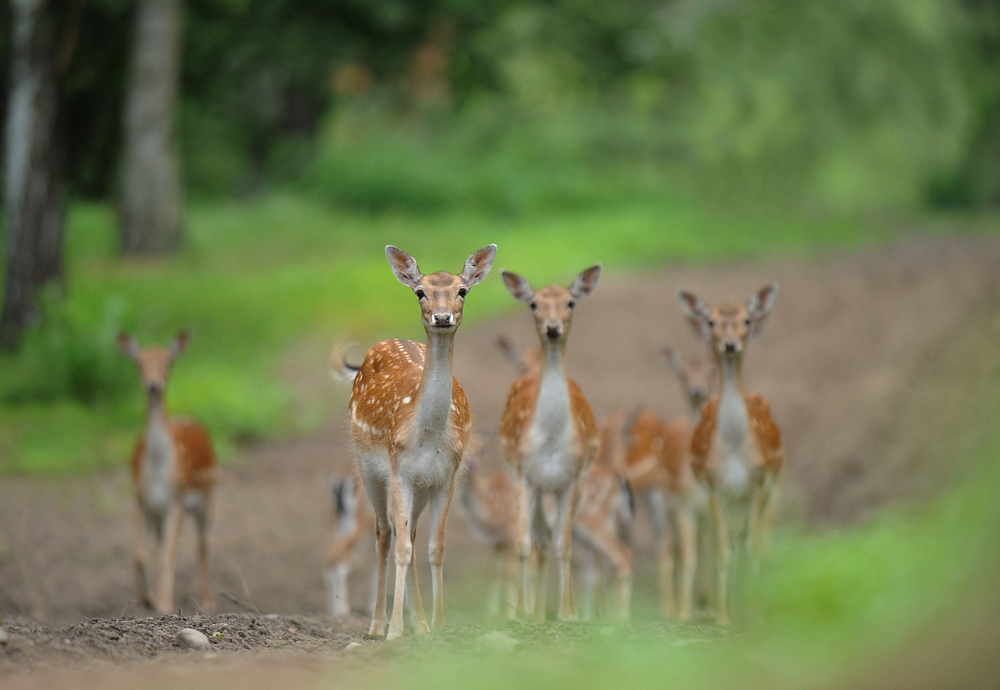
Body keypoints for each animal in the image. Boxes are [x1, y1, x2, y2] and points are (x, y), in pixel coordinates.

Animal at [118, 330, 218, 616]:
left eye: (168, 361)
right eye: (139, 362)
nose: (153, 384)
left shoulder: (178, 499)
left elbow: (168, 554)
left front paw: (165, 605)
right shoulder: (140, 498)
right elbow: (140, 554)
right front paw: (149, 599)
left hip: (209, 496)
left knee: (204, 545)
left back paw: (208, 601)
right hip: (160, 513)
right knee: (158, 547)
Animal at [332, 243, 496, 640]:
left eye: (462, 291)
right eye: (420, 291)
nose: (442, 317)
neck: (427, 436)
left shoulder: (445, 476)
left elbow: (435, 547)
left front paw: (438, 625)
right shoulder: (398, 471)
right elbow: (402, 547)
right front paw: (394, 631)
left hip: (418, 487)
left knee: (412, 533)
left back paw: (419, 623)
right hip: (368, 469)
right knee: (384, 532)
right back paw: (377, 625)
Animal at [500, 262, 600, 620]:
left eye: (570, 302)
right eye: (534, 304)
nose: (552, 328)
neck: (552, 441)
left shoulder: (572, 478)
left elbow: (564, 545)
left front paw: (568, 612)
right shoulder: (523, 474)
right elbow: (523, 543)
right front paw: (521, 612)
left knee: (554, 539)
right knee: (539, 539)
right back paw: (535, 611)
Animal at [676, 282, 784, 620]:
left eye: (746, 320)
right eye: (711, 322)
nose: (730, 344)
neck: (735, 447)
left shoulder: (760, 482)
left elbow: (752, 545)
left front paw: (755, 613)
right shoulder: (713, 486)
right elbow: (723, 550)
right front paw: (723, 615)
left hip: (770, 486)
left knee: (759, 539)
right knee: (728, 542)